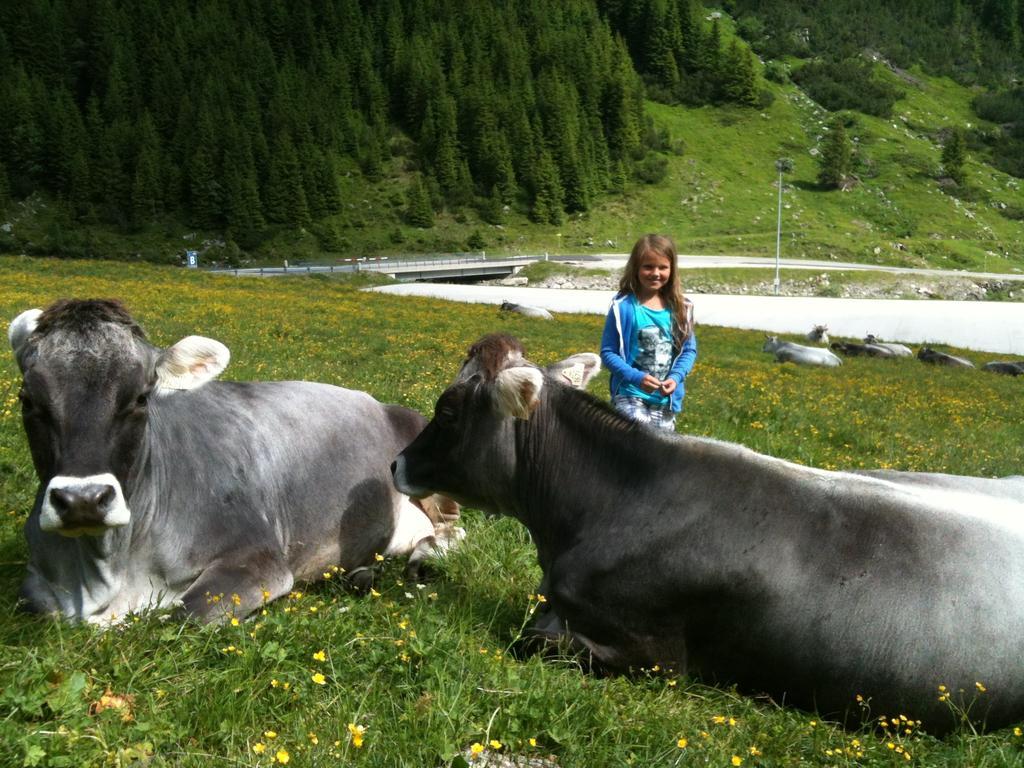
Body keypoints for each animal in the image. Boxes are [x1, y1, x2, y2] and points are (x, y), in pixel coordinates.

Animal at [9, 301, 460, 626]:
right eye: (27, 400)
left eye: (140, 397)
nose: (82, 500)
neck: (106, 578)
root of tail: (382, 402)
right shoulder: (33, 583)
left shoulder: (259, 558)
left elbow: (181, 616)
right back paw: (362, 573)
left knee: (453, 530)